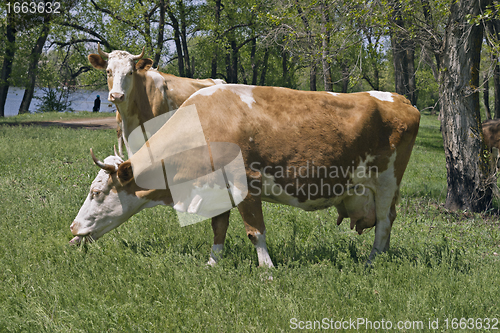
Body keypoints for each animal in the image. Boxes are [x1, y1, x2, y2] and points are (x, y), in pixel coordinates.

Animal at [70, 86, 420, 268]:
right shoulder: (215, 189)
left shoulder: (245, 183)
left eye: (97, 193)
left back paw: (372, 262)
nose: (73, 228)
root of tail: (402, 100)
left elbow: (255, 231)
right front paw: (213, 264)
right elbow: (218, 228)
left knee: (385, 223)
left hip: (386, 183)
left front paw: (267, 271)